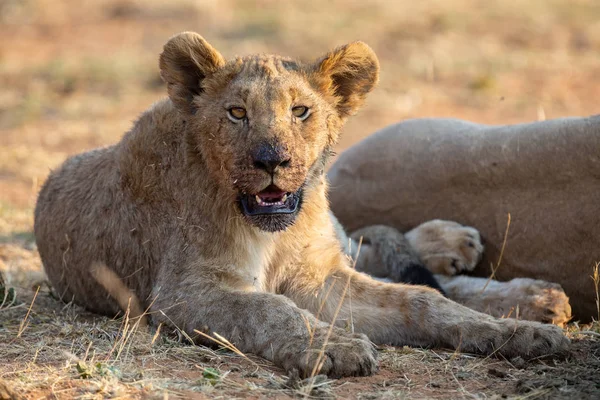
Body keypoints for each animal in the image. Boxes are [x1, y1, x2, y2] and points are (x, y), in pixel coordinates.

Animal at [32, 32, 568, 378]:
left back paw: (508, 280)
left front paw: (513, 334)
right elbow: (272, 308)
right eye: (237, 112)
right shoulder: (184, 291)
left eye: (300, 111)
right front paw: (333, 347)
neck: (270, 230)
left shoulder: (318, 276)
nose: (273, 160)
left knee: (374, 252)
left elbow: (421, 299)